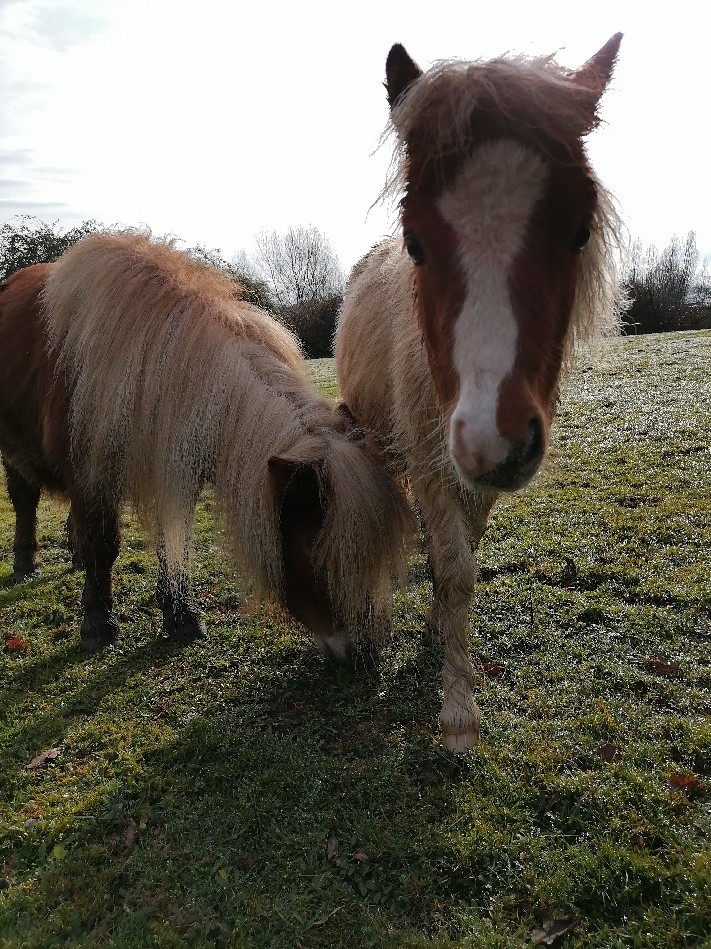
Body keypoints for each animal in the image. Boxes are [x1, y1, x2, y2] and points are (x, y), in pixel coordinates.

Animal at [0, 233, 412, 656]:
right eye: (318, 560)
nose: (364, 651)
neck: (152, 364)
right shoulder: (90, 474)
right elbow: (103, 544)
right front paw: (98, 624)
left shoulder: (175, 470)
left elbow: (173, 541)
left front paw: (180, 614)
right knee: (25, 499)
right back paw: (26, 564)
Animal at [336, 37, 624, 748]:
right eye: (415, 242)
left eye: (579, 231)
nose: (493, 438)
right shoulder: (432, 463)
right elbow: (454, 566)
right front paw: (459, 713)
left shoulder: (478, 479)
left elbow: (463, 558)